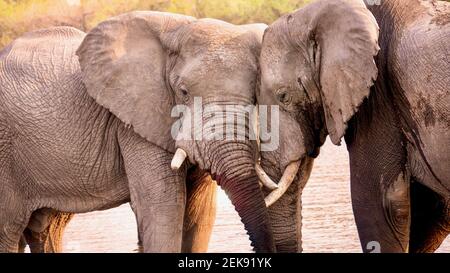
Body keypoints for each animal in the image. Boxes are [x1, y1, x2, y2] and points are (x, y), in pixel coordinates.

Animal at [0, 11, 274, 252]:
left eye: (255, 95)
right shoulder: (135, 124)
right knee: (9, 230)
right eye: (183, 92)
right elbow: (163, 208)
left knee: (45, 228)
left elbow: (200, 215)